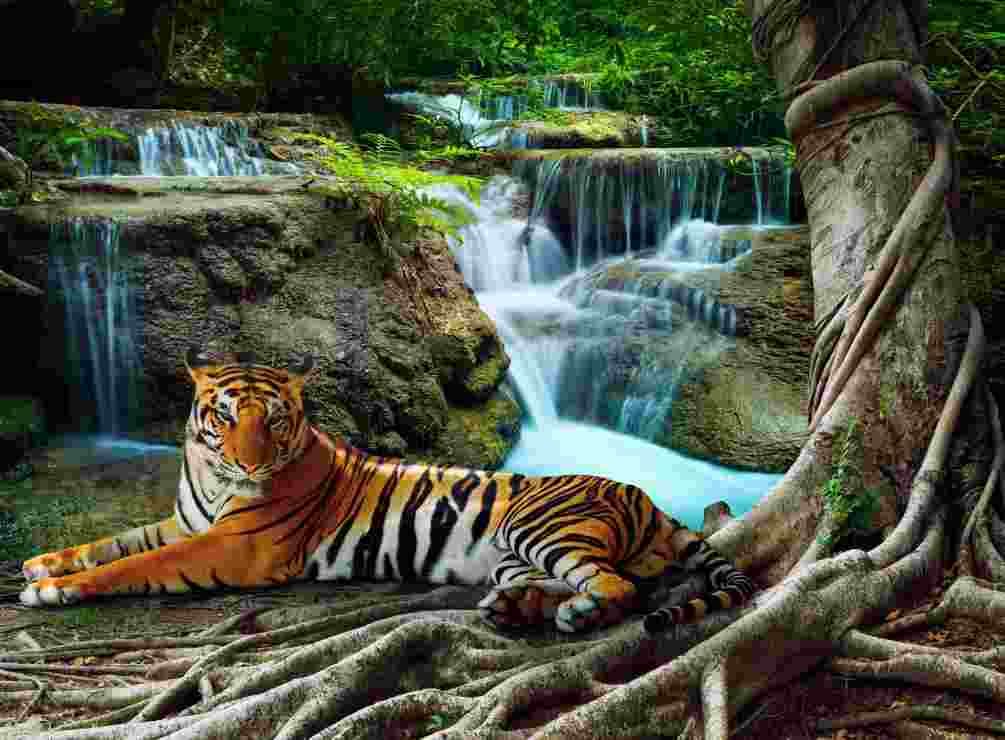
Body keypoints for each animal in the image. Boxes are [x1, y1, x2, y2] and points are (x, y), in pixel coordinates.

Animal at [20, 349, 755, 634]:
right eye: (224, 417)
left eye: (273, 421)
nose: (250, 462)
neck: (210, 474)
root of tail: (646, 498)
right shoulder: (188, 522)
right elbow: (116, 541)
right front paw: (43, 564)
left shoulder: (233, 546)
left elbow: (136, 563)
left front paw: (55, 589)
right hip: (514, 553)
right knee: (574, 580)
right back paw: (513, 607)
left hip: (537, 527)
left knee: (617, 586)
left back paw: (572, 614)